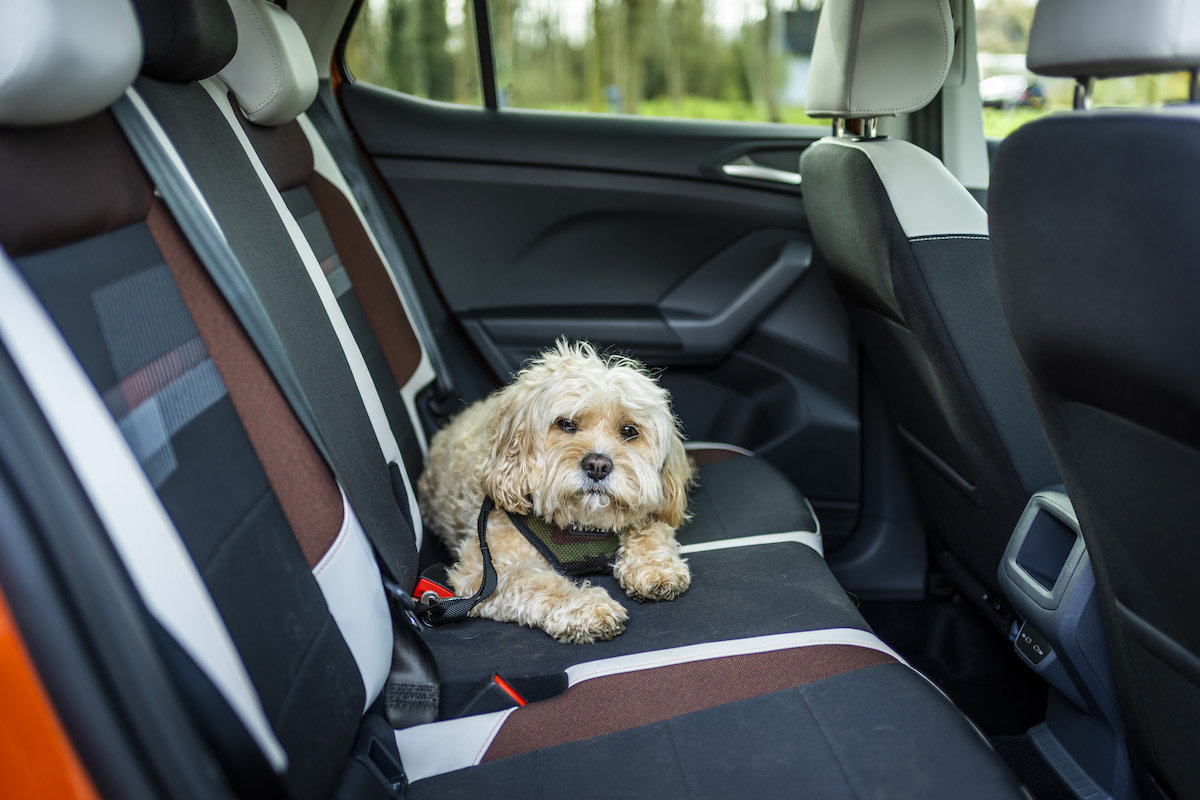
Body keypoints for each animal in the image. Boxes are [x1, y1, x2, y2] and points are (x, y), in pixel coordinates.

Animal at [417, 340, 696, 642]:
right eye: (567, 424)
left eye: (629, 430)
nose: (597, 465)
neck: (582, 526)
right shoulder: (482, 572)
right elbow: (534, 581)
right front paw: (587, 606)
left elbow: (650, 527)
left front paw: (655, 567)